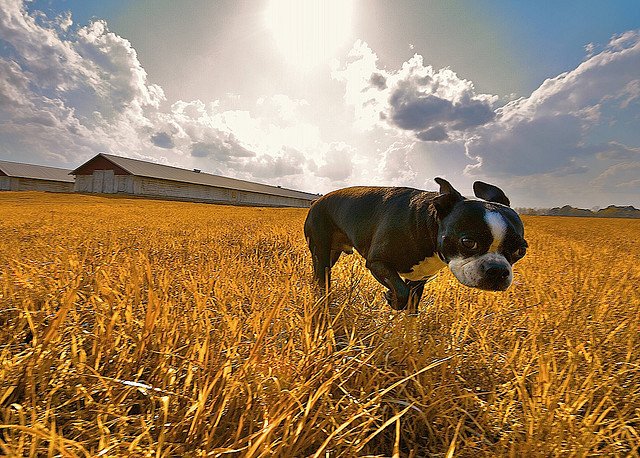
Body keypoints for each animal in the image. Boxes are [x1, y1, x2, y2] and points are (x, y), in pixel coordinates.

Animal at [304, 177, 528, 310]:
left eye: (520, 250)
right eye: (468, 242)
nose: (498, 270)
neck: (429, 225)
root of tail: (316, 201)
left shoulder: (420, 278)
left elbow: (411, 308)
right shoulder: (378, 263)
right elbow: (402, 293)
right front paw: (392, 298)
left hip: (331, 253)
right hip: (321, 249)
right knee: (321, 276)